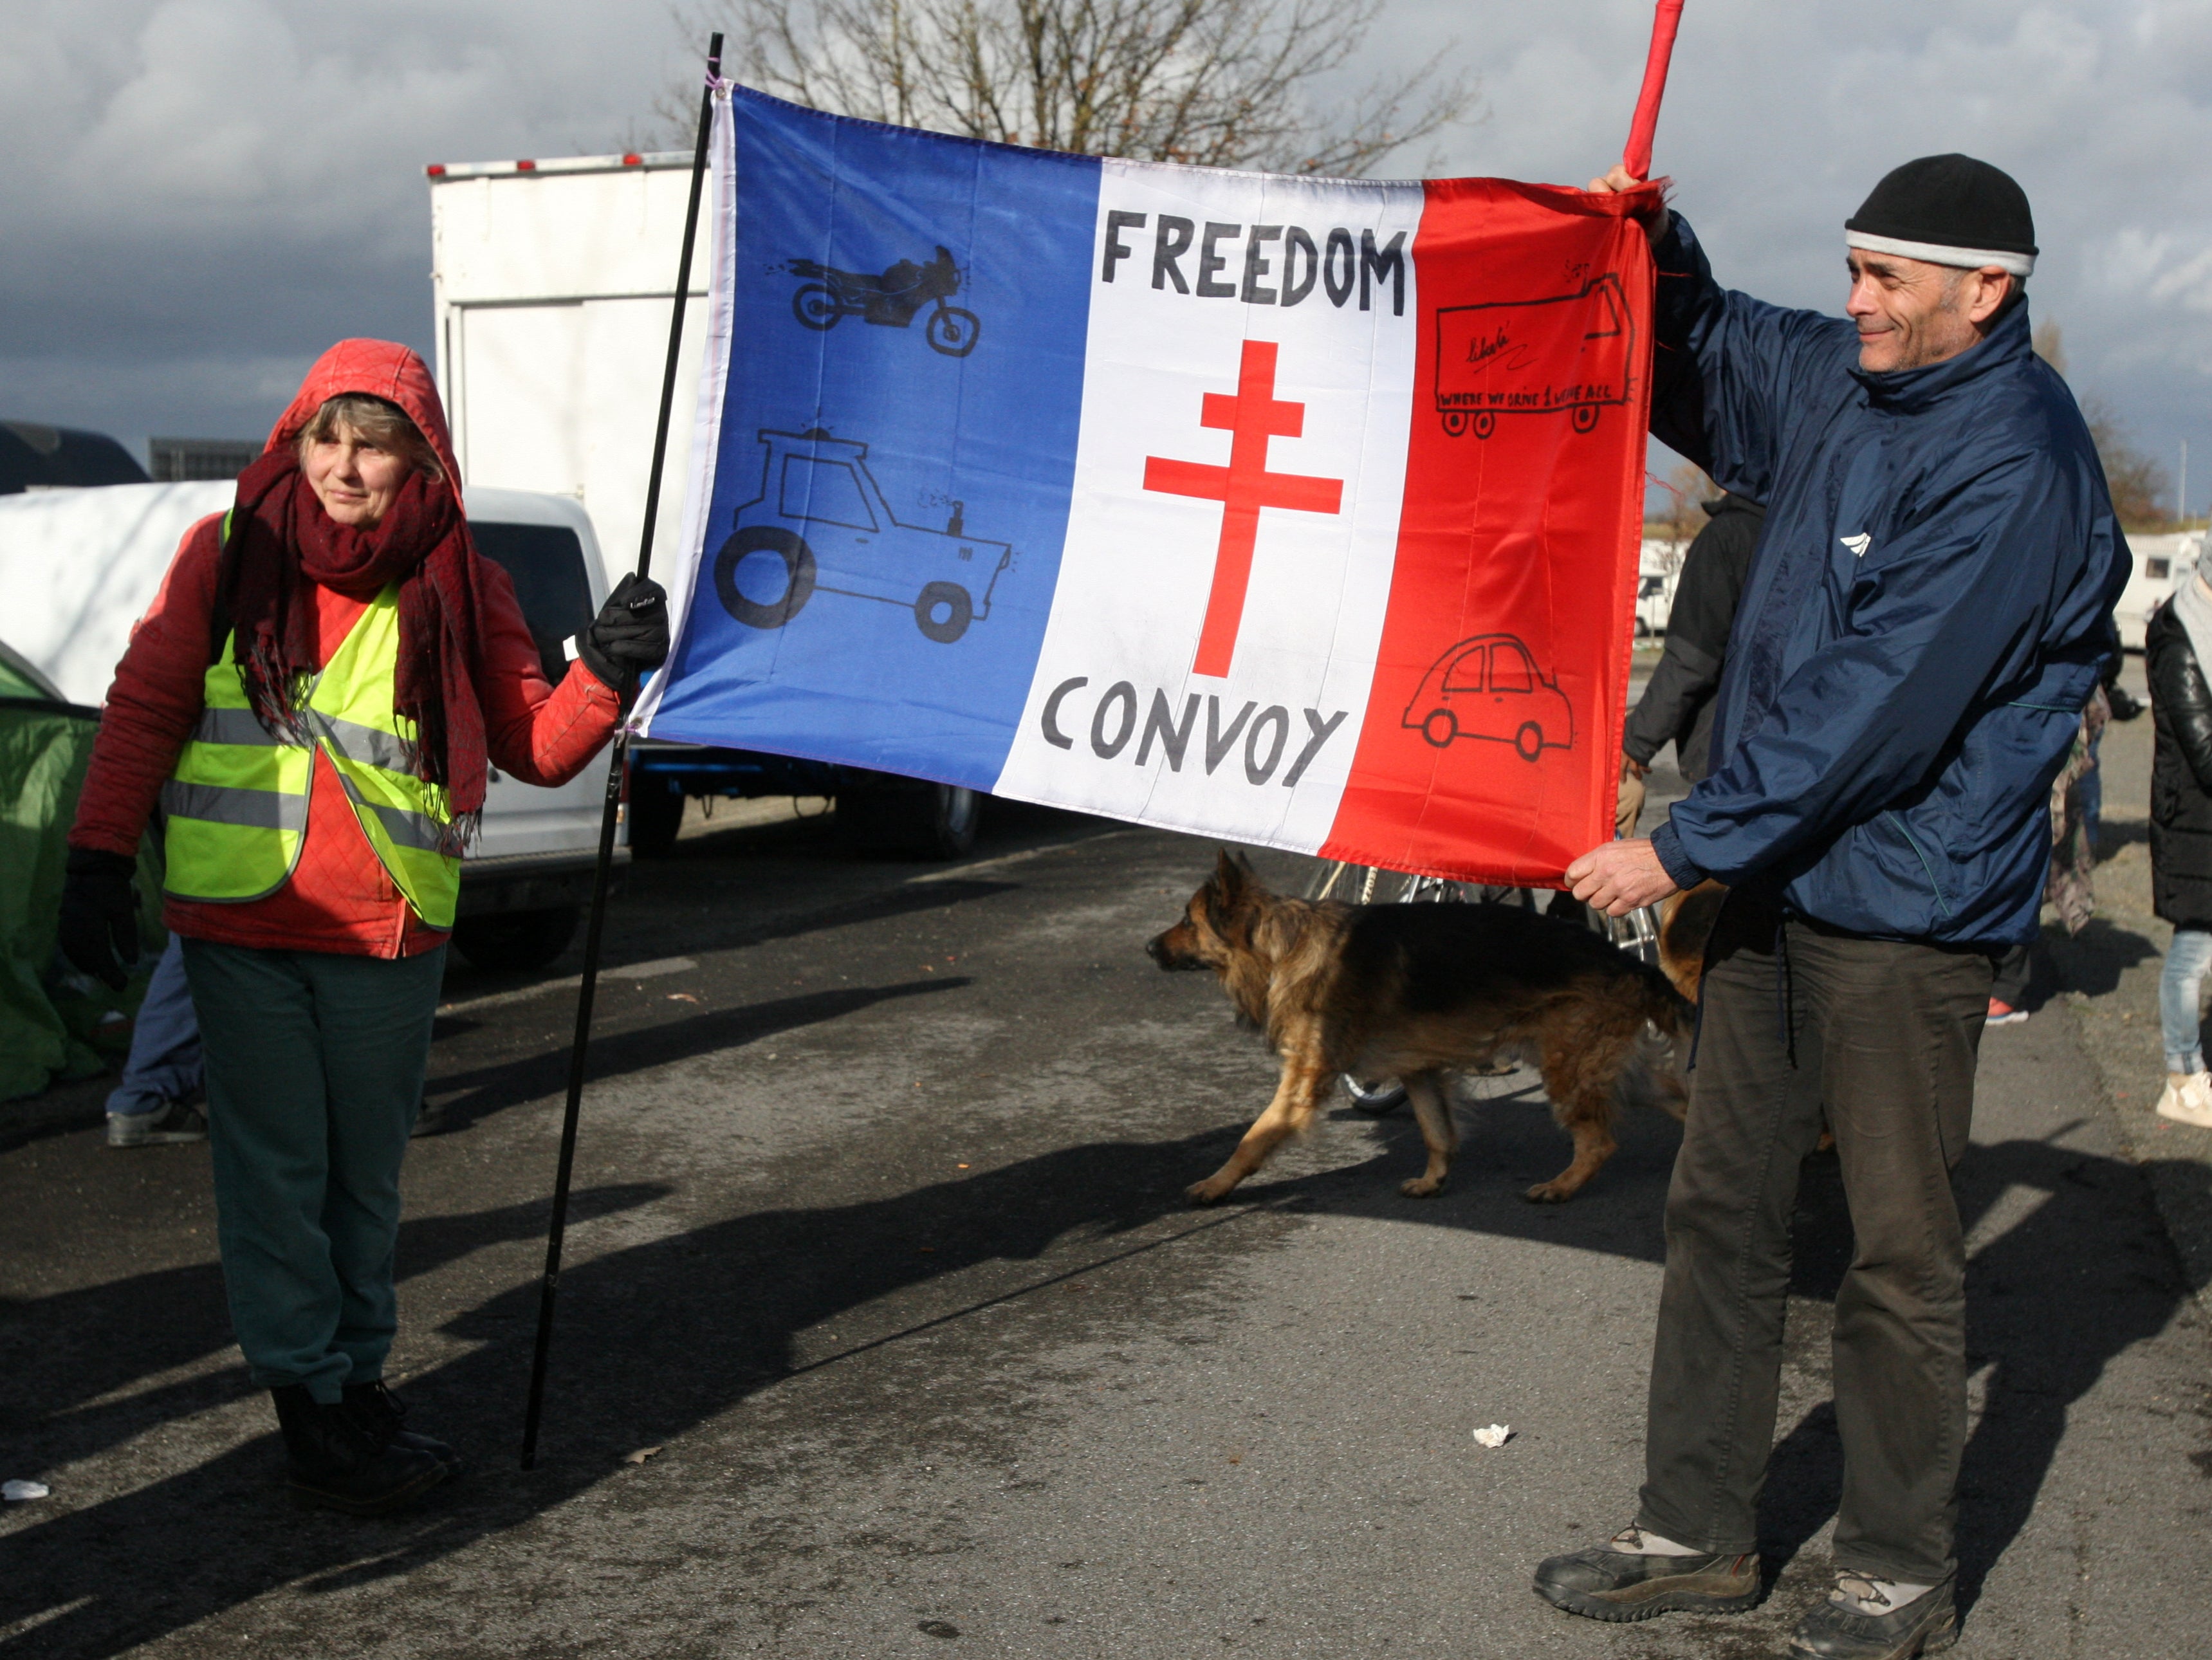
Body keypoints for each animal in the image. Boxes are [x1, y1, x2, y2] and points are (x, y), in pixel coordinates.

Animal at [1141, 858, 1690, 1213]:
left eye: (1187, 920)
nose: (1147, 948)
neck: (1282, 947)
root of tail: (1627, 961)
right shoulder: (1419, 1070)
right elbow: (1436, 1131)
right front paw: (1434, 1180)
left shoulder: (1302, 1083)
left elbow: (1253, 1138)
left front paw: (1216, 1185)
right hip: (1621, 1075)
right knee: (1680, 1099)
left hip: (1569, 1070)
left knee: (1599, 1143)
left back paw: (1561, 1187)